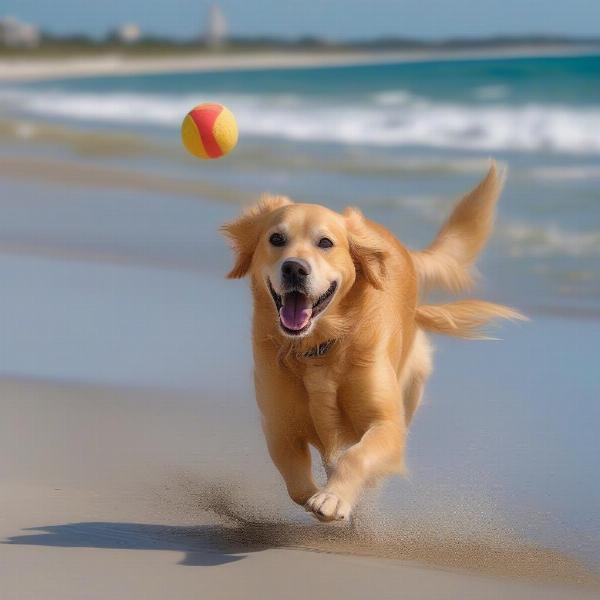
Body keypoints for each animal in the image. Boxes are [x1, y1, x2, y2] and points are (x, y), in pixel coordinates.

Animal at [221, 163, 524, 520]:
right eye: (276, 239)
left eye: (325, 242)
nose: (294, 268)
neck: (319, 348)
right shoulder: (279, 426)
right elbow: (295, 481)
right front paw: (318, 495)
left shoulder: (387, 425)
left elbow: (357, 456)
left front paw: (332, 497)